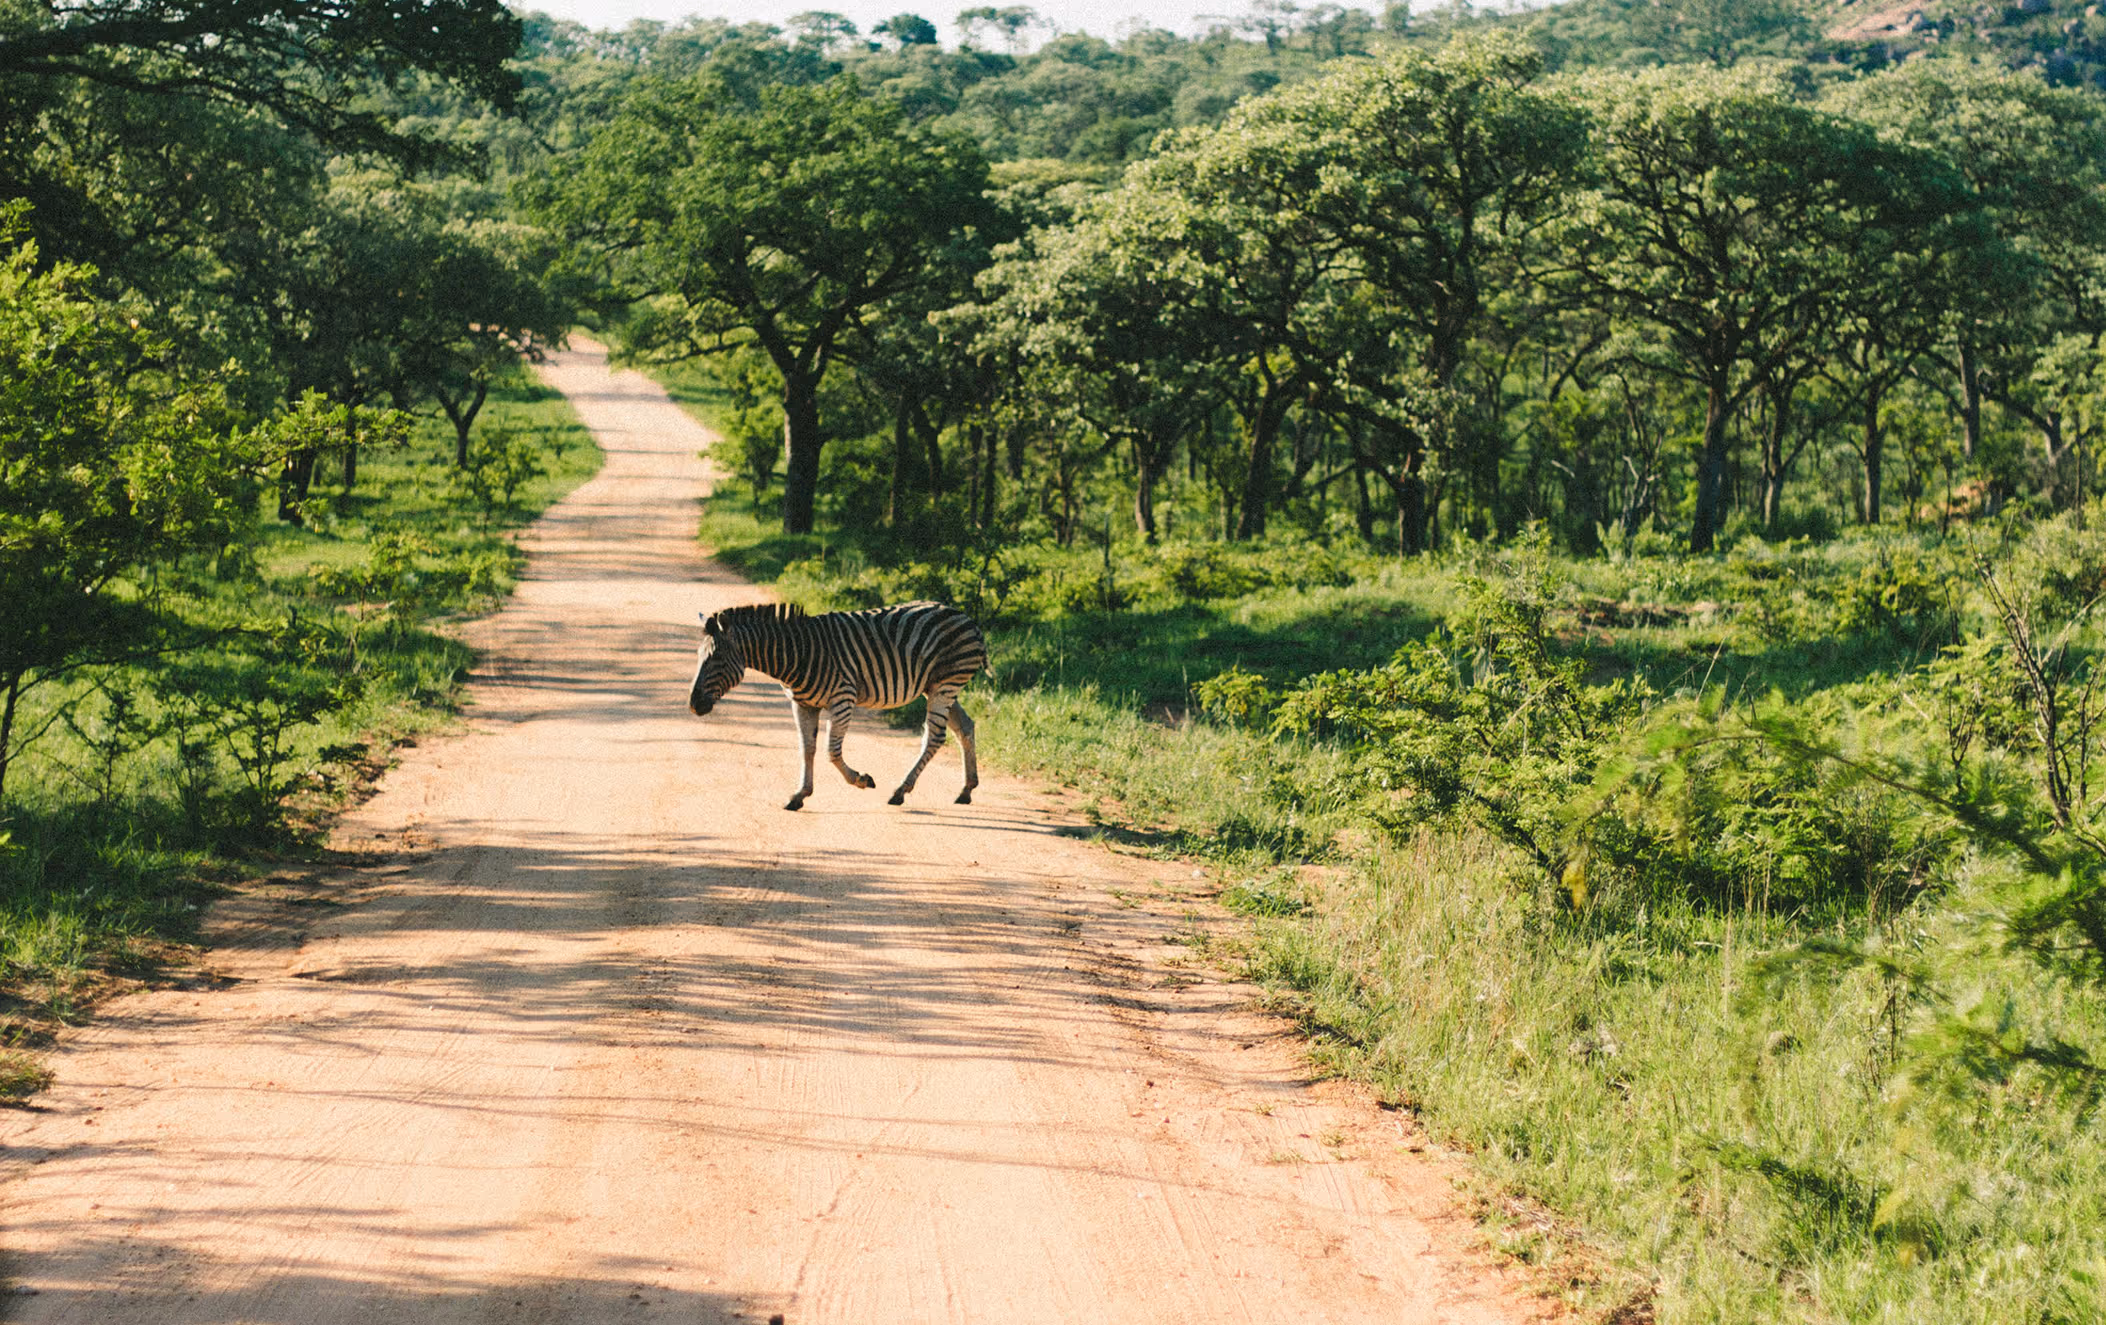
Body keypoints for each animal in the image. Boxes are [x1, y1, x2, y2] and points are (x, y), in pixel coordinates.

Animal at [688, 600, 988, 811]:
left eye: (716, 659)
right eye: (699, 656)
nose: (693, 705)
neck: (798, 654)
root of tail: (966, 618)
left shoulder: (843, 699)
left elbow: (832, 752)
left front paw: (862, 779)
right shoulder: (802, 704)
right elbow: (807, 749)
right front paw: (799, 795)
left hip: (945, 684)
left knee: (935, 736)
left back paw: (900, 791)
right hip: (936, 687)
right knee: (965, 727)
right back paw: (966, 790)